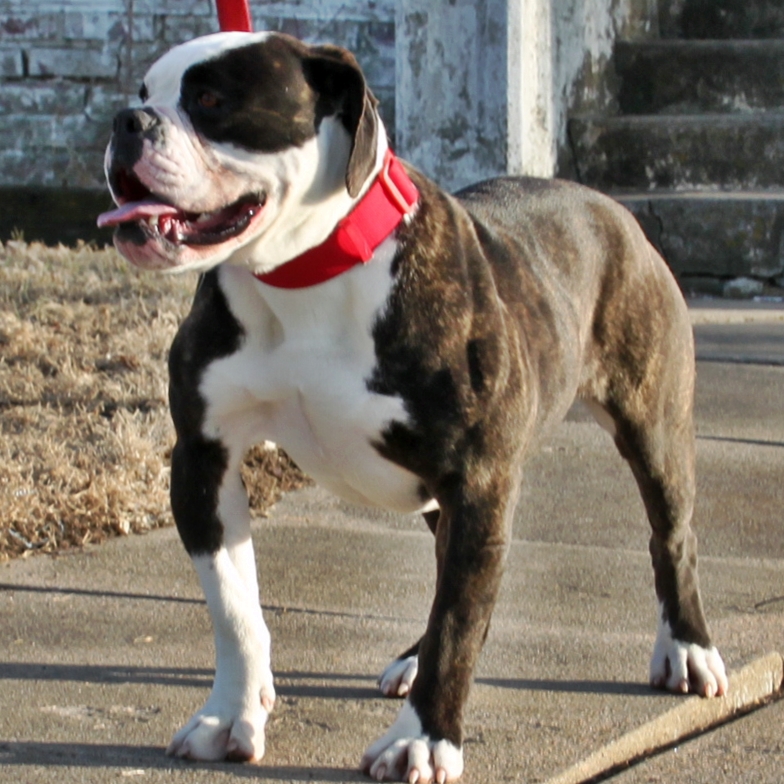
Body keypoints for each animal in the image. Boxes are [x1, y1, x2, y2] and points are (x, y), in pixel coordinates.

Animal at [98, 30, 728, 784]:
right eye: (143, 93)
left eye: (213, 101)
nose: (126, 122)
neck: (304, 273)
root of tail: (608, 207)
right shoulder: (203, 459)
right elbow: (236, 611)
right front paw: (229, 717)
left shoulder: (477, 482)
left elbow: (458, 624)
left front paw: (424, 741)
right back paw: (411, 657)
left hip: (650, 425)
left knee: (672, 536)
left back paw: (688, 648)